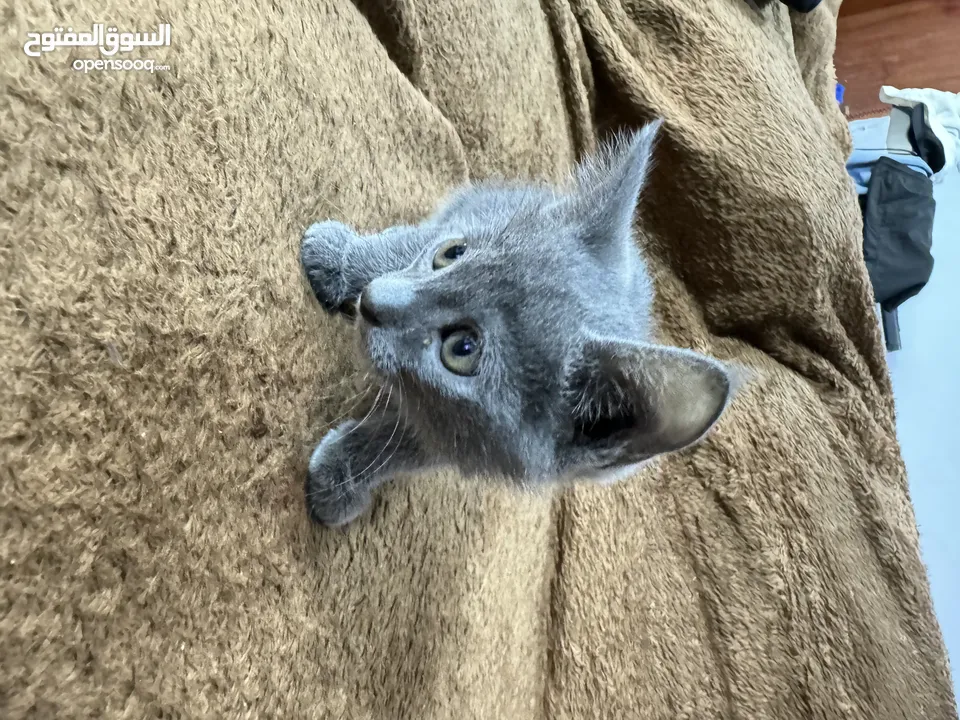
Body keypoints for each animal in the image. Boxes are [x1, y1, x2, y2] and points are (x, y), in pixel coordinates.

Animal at [302, 122, 736, 528]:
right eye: (451, 253)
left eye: (462, 349)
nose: (372, 302)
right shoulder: (461, 222)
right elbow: (402, 245)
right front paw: (338, 257)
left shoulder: (476, 443)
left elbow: (410, 446)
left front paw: (342, 479)